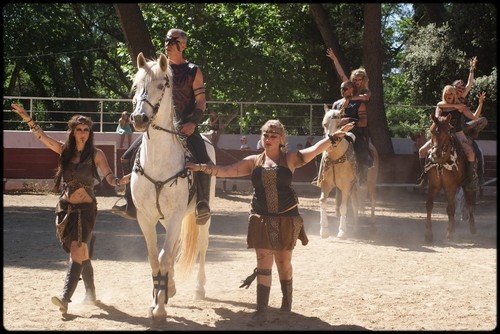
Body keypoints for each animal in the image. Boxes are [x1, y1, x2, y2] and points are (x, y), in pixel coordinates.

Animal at [129, 52, 215, 324]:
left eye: (161, 85)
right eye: (136, 85)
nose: (139, 118)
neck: (158, 160)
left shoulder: (177, 215)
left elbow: (165, 256)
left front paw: (160, 308)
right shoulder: (145, 218)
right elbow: (154, 257)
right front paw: (157, 297)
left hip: (201, 217)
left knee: (202, 246)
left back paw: (199, 288)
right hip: (166, 220)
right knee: (174, 246)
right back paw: (172, 286)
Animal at [318, 104, 358, 237]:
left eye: (339, 124)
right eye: (324, 124)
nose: (332, 140)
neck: (336, 158)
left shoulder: (346, 186)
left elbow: (344, 207)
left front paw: (342, 231)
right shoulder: (325, 184)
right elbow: (323, 202)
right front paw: (324, 230)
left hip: (354, 187)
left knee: (354, 204)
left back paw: (355, 226)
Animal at [426, 113, 476, 241]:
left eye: (447, 131)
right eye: (432, 130)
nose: (436, 154)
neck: (442, 161)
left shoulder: (450, 187)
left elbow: (450, 209)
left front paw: (449, 233)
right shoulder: (433, 186)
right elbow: (429, 206)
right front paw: (428, 234)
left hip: (467, 186)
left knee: (469, 204)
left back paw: (472, 228)